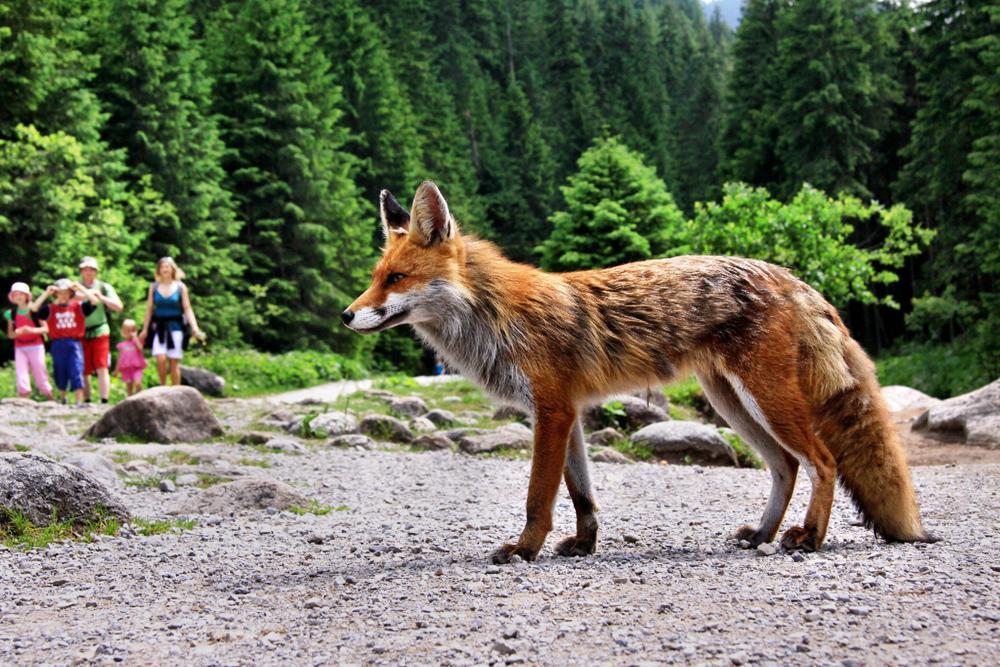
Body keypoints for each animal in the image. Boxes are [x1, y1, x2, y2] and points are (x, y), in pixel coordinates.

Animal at [343, 181, 933, 564]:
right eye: (375, 277)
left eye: (396, 278)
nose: (347, 315)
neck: (497, 316)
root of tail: (792, 277)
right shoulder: (567, 414)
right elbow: (581, 495)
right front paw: (584, 545)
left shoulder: (552, 410)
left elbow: (539, 496)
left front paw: (525, 549)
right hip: (733, 403)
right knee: (786, 467)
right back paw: (762, 534)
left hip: (765, 398)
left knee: (823, 462)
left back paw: (808, 537)